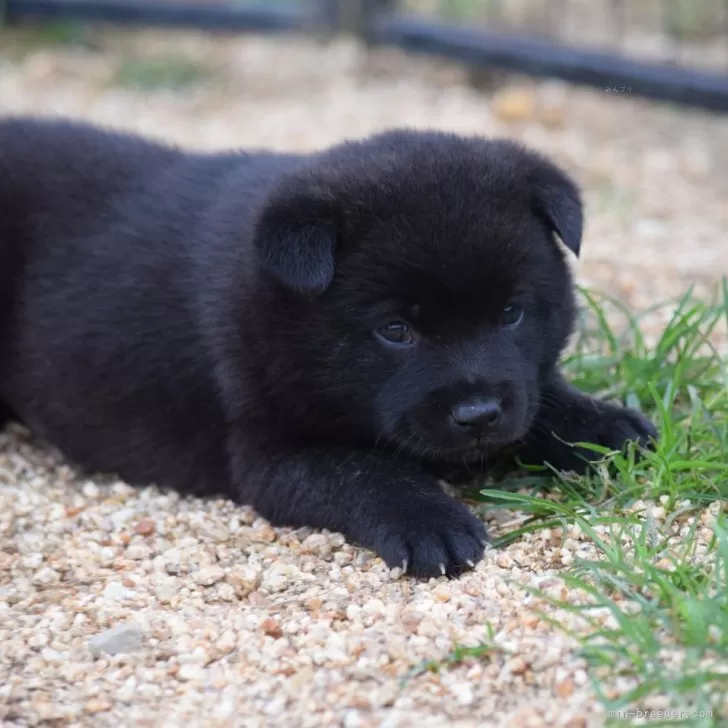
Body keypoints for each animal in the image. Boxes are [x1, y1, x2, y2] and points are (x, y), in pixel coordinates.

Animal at [0, 118, 660, 576]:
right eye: (395, 331)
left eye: (510, 314)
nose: (478, 415)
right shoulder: (272, 454)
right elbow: (366, 469)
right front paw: (433, 522)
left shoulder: (520, 387)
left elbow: (542, 400)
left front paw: (610, 428)